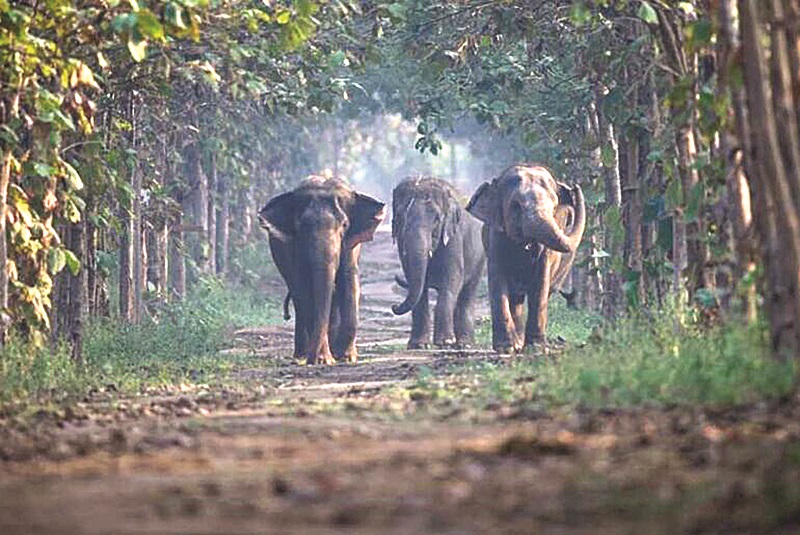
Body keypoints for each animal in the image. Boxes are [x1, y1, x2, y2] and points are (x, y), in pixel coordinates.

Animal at [258, 176, 386, 364]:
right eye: (301, 226)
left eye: (344, 225)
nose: (313, 358)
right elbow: (304, 288)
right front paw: (323, 360)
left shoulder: (351, 245)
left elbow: (349, 281)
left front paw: (347, 357)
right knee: (299, 298)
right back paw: (301, 355)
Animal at [390, 178, 484, 350]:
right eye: (400, 217)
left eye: (437, 219)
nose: (394, 306)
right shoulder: (401, 241)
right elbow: (416, 284)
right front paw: (418, 345)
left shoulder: (453, 236)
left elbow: (452, 278)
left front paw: (445, 343)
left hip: (480, 257)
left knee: (468, 292)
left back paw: (464, 344)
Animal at [466, 165, 584, 354]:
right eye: (516, 206)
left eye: (554, 206)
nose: (574, 187)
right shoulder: (495, 236)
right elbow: (497, 279)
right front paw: (505, 348)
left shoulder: (545, 252)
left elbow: (541, 281)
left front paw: (536, 347)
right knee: (515, 297)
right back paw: (517, 343)